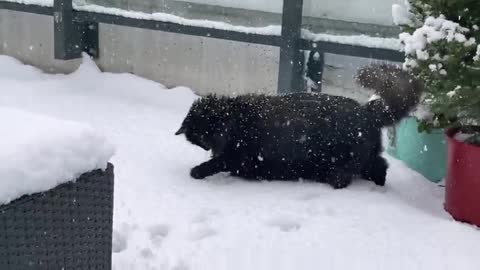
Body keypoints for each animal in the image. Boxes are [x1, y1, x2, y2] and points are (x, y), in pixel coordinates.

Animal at [175, 63, 420, 189]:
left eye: (204, 135)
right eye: (199, 140)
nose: (208, 146)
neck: (237, 119)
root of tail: (365, 110)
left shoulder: (238, 155)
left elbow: (216, 163)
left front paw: (197, 171)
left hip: (341, 163)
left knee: (357, 172)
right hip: (365, 157)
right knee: (380, 165)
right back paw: (379, 185)